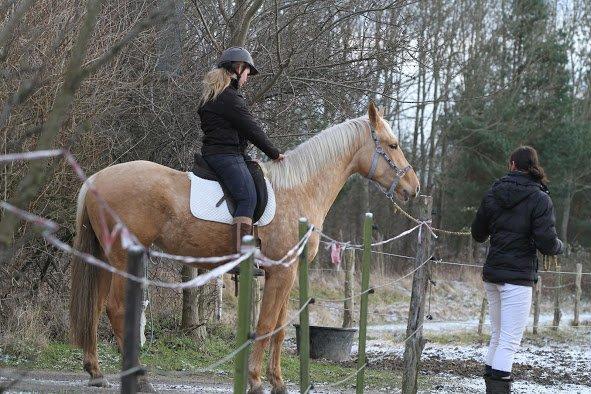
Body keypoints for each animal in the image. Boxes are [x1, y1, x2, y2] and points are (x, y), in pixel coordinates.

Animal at [70, 103, 420, 392]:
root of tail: (95, 181)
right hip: (122, 259)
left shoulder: (287, 273)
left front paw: (278, 382)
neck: (299, 189)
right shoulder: (281, 271)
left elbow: (279, 328)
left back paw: (96, 372)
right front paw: (255, 380)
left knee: (96, 307)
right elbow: (265, 326)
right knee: (116, 308)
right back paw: (139, 379)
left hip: (106, 258)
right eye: (393, 145)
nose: (413, 187)